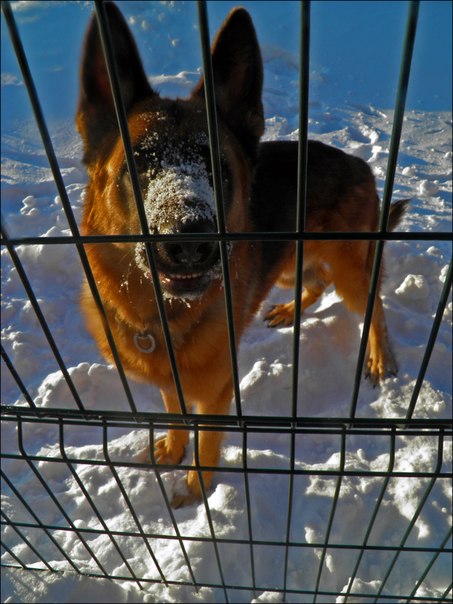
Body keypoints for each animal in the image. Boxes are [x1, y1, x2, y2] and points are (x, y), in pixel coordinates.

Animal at [77, 2, 406, 508]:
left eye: (218, 166)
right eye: (138, 164)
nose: (190, 242)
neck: (164, 317)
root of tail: (362, 166)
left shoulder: (217, 395)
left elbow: (207, 445)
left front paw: (196, 493)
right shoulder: (173, 383)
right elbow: (175, 413)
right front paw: (173, 449)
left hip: (352, 270)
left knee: (373, 306)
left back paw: (379, 357)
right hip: (289, 265)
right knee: (317, 281)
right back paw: (291, 310)